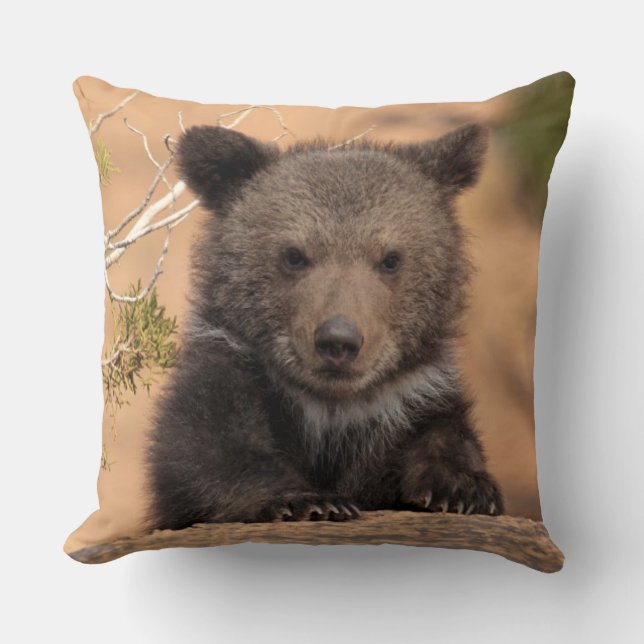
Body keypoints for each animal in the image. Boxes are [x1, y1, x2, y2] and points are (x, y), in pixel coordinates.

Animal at [146, 122, 504, 530]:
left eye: (391, 259)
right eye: (294, 255)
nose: (338, 340)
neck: (332, 411)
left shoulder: (412, 397)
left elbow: (442, 433)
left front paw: (463, 488)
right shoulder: (232, 373)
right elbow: (208, 449)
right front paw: (309, 500)